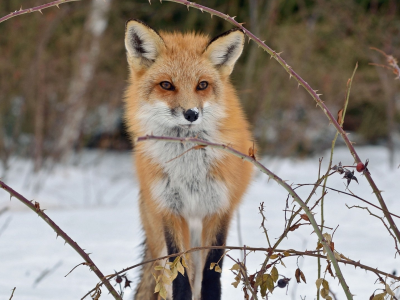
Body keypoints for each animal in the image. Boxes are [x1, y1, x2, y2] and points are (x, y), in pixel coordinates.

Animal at [124, 19, 253, 300]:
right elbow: (179, 277)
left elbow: (212, 276)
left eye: (202, 85)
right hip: (162, 240)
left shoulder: (219, 209)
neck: (189, 169)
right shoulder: (170, 211)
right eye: (166, 85)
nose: (191, 113)